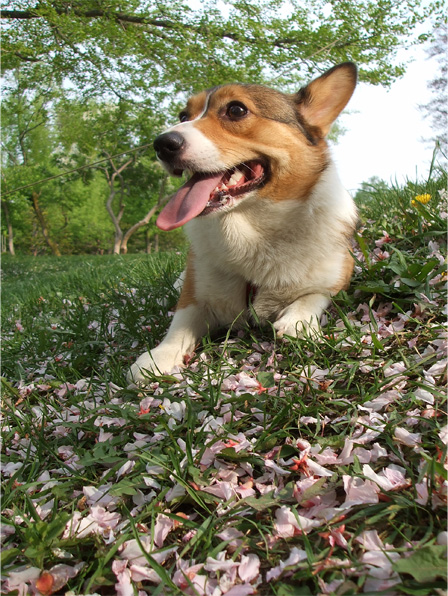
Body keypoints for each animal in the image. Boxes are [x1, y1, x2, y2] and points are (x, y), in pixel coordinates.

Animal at [129, 62, 358, 385]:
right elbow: (181, 321)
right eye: (183, 116)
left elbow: (314, 295)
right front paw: (160, 356)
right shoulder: (196, 297)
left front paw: (297, 321)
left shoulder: (339, 275)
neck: (252, 231)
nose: (161, 144)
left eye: (236, 110)